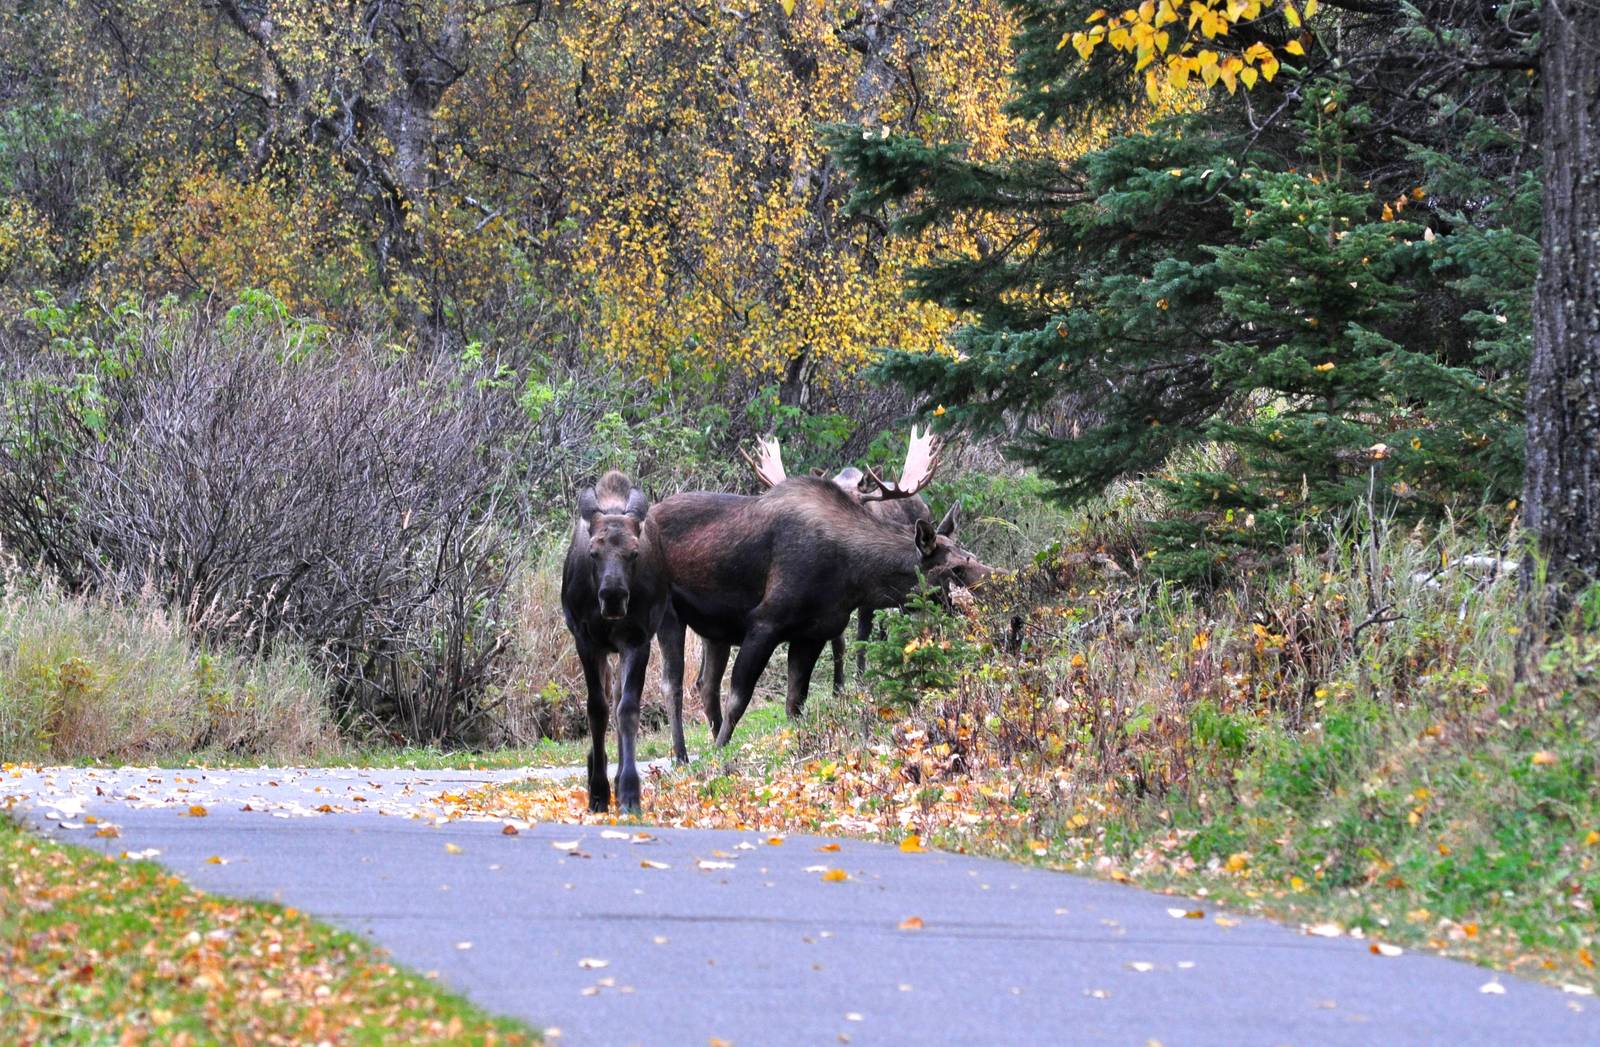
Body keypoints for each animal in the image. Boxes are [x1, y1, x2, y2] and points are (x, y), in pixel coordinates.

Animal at [560, 471, 670, 813]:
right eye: (593, 553)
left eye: (634, 552)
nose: (612, 597)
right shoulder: (586, 640)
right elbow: (597, 709)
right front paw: (598, 791)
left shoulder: (637, 640)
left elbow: (628, 709)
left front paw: (630, 791)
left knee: (620, 697)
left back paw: (620, 778)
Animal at [651, 428, 992, 749]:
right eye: (956, 568)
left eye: (971, 556)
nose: (993, 585)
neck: (854, 577)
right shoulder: (764, 623)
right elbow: (739, 698)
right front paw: (723, 752)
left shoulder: (812, 634)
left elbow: (795, 703)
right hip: (667, 613)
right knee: (673, 684)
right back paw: (681, 755)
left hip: (715, 631)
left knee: (706, 686)